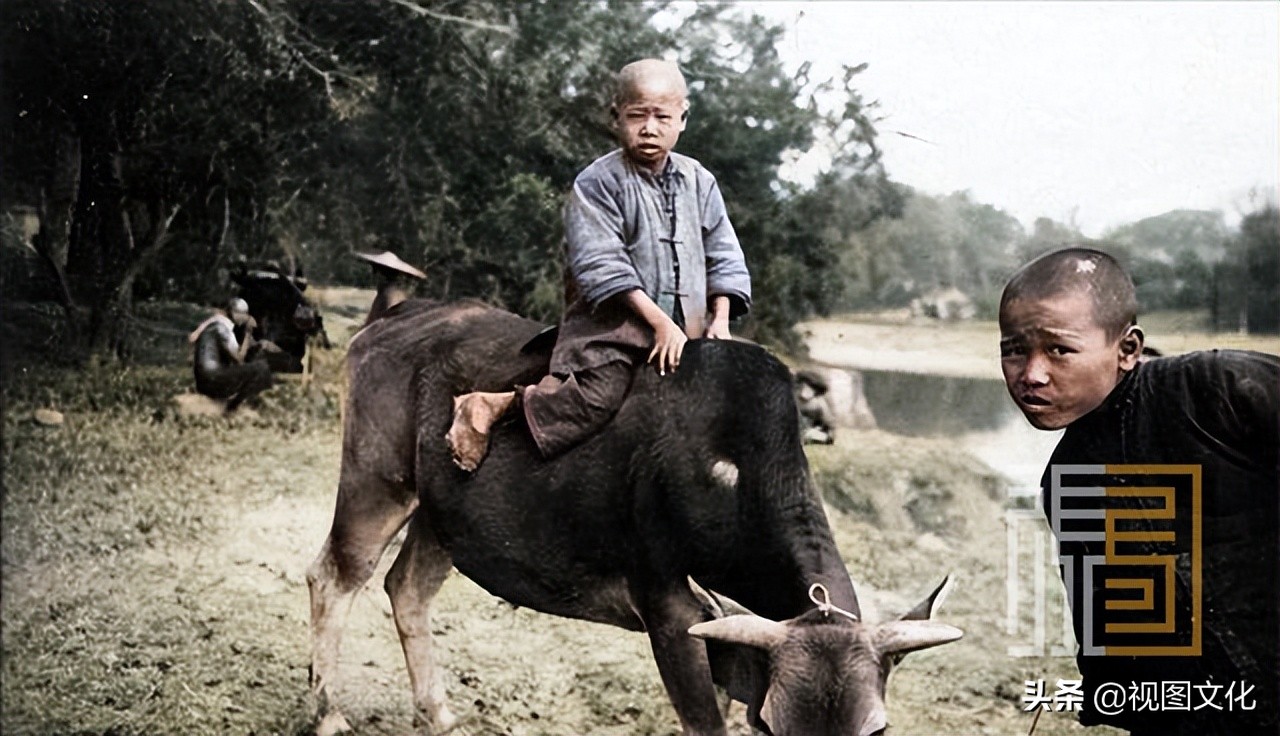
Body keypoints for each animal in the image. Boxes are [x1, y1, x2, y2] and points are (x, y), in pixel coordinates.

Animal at [307, 299, 962, 736]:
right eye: (774, 727)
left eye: (877, 730)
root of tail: (393, 320)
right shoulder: (670, 615)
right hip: (377, 485)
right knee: (334, 577)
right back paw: (329, 713)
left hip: (443, 519)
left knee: (406, 588)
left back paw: (438, 713)